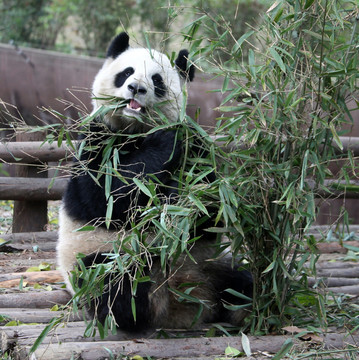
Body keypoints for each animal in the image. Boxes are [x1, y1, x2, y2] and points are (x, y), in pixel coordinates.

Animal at [57, 33, 253, 332]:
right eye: (126, 73)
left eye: (157, 80)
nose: (136, 88)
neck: (135, 129)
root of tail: (179, 297)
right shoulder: (97, 139)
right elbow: (105, 196)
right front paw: (165, 144)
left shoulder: (199, 154)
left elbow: (211, 214)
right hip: (103, 255)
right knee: (111, 283)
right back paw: (133, 310)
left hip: (210, 263)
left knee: (242, 282)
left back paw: (244, 309)